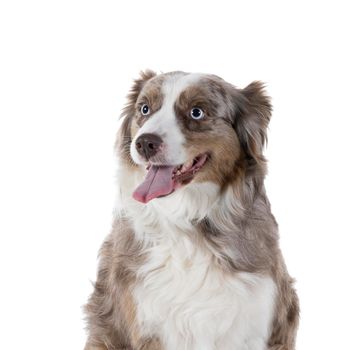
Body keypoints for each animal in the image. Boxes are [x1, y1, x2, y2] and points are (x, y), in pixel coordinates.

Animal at [84, 71, 298, 350]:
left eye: (196, 112)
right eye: (144, 108)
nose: (144, 143)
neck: (187, 217)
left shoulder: (258, 323)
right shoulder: (149, 326)